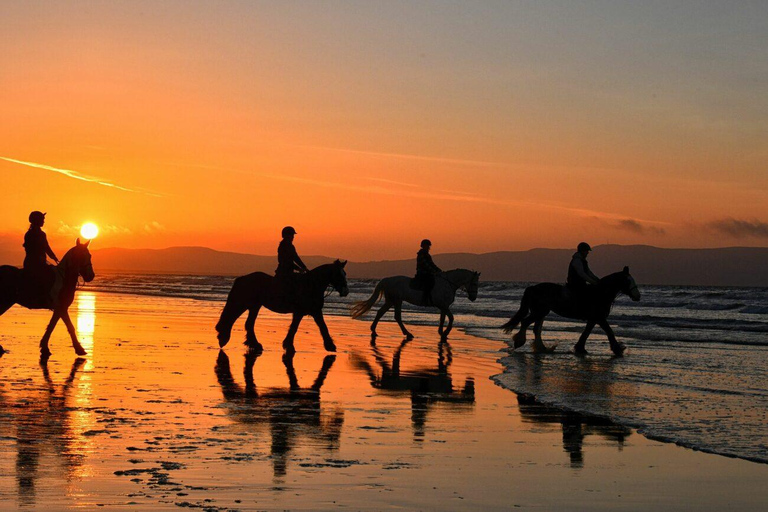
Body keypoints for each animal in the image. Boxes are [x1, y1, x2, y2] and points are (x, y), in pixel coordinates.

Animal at [216, 260, 348, 352]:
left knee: (248, 323)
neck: (312, 284)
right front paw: (288, 346)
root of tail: (242, 278)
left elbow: (323, 327)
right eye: (339, 275)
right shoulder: (300, 312)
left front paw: (330, 346)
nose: (345, 291)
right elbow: (294, 328)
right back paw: (223, 338)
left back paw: (254, 344)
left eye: (345, 274)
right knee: (232, 317)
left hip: (255, 306)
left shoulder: (315, 311)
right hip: (244, 303)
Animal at [350, 268, 480, 340]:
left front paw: (441, 333)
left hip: (392, 301)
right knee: (397, 316)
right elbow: (451, 318)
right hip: (396, 300)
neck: (447, 283)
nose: (473, 298)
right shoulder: (443, 306)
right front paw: (445, 333)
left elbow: (443, 319)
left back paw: (374, 330)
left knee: (381, 312)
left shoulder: (443, 306)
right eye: (474, 283)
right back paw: (407, 333)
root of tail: (386, 280)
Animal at [500, 268, 640, 356]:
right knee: (525, 322)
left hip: (541, 312)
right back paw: (520, 342)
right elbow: (609, 332)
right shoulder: (600, 318)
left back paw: (543, 348)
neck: (600, 293)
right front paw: (618, 350)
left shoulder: (593, 319)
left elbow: (586, 333)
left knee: (535, 329)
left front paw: (580, 348)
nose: (637, 296)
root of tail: (533, 287)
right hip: (539, 312)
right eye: (628, 281)